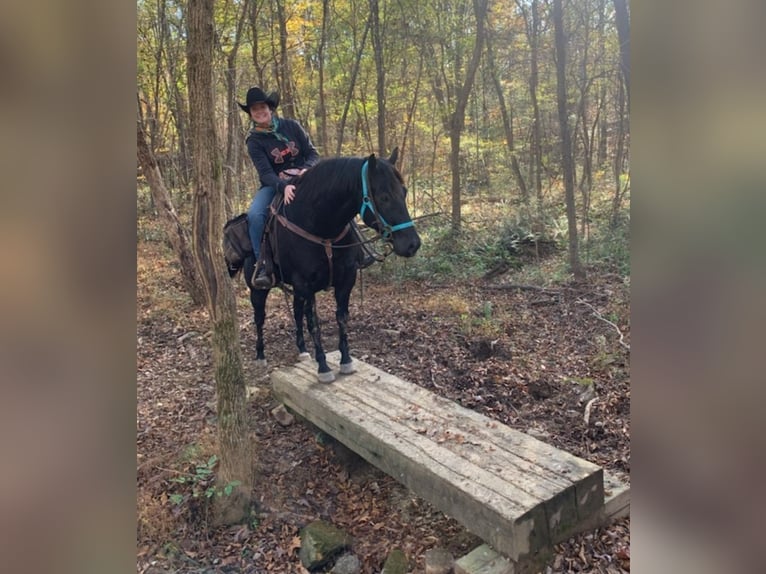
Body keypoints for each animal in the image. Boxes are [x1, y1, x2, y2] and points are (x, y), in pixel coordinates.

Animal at [242, 147, 421, 383]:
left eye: (404, 192)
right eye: (384, 196)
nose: (412, 244)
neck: (320, 225)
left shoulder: (345, 280)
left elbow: (341, 319)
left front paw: (346, 361)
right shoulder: (305, 284)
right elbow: (315, 323)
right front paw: (324, 367)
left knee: (297, 313)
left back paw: (302, 350)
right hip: (259, 289)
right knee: (259, 318)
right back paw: (261, 355)